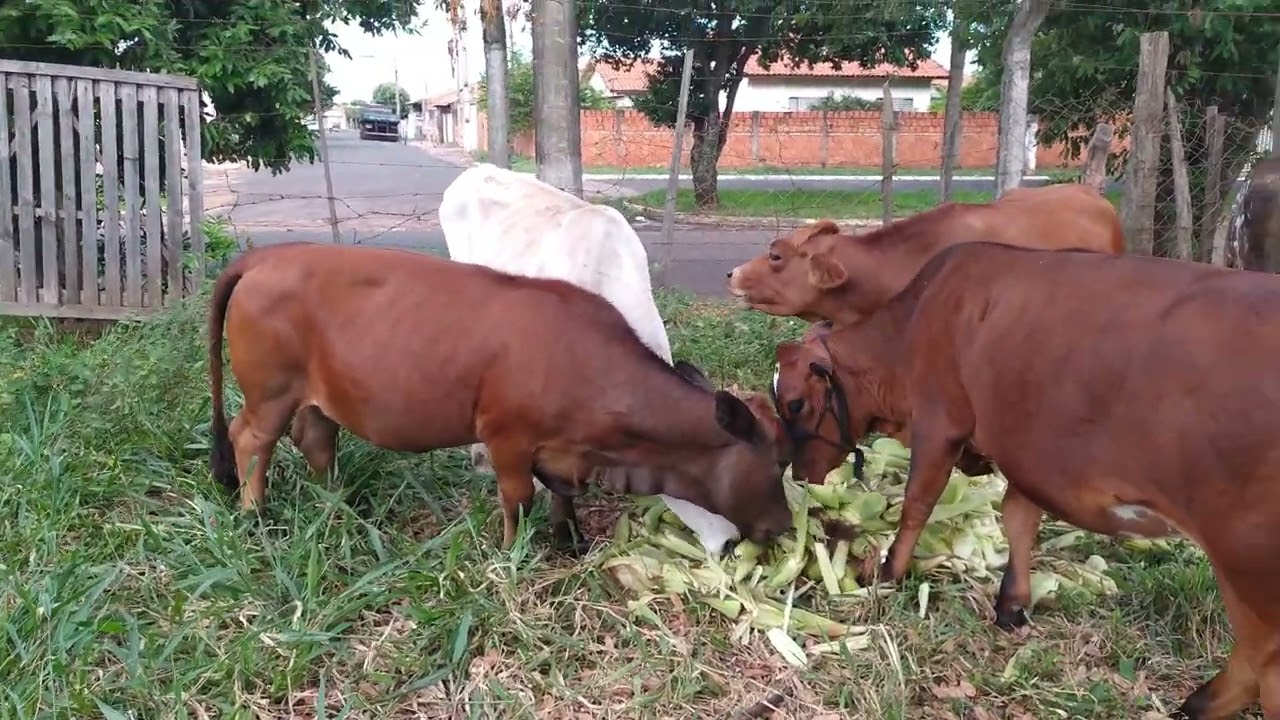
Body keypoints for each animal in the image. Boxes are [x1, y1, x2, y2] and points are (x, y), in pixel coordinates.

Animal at [205, 242, 793, 556]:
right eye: (777, 464)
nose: (785, 527)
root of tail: (269, 255)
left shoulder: (565, 452)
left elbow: (560, 494)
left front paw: (570, 539)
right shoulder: (507, 436)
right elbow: (519, 497)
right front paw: (511, 553)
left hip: (316, 394)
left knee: (314, 436)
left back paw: (339, 504)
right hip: (270, 392)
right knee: (251, 440)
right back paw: (255, 515)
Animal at [784, 239, 1280, 718]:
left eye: (793, 403)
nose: (799, 473)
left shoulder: (939, 420)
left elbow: (918, 502)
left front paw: (888, 572)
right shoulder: (1026, 457)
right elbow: (1017, 517)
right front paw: (1012, 604)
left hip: (1246, 558)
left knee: (1265, 663)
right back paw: (1199, 704)